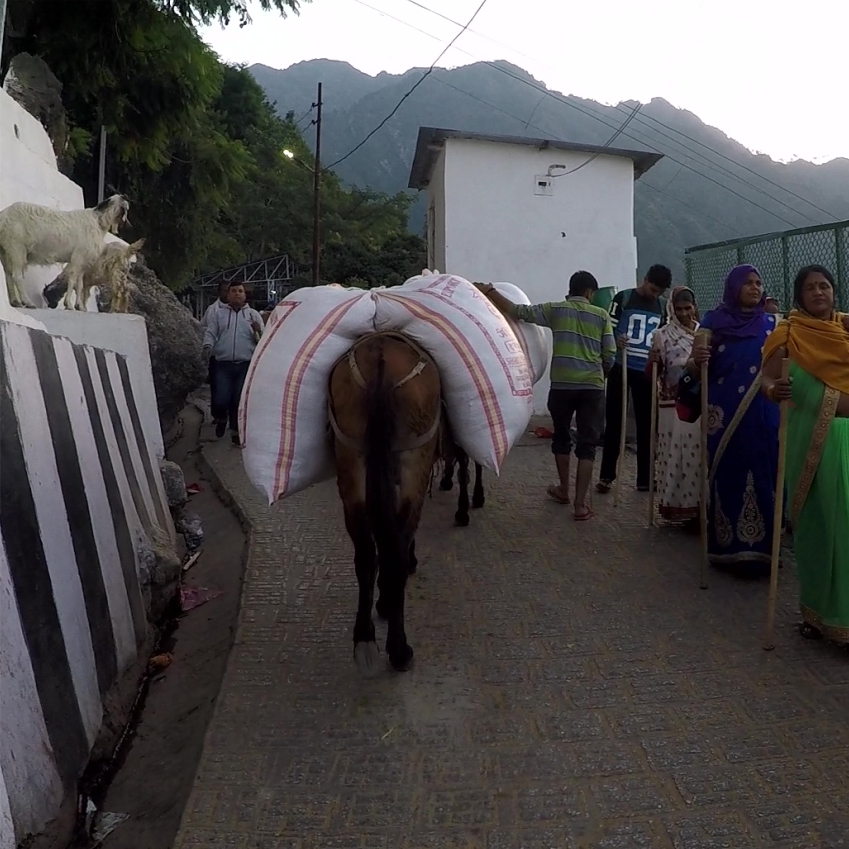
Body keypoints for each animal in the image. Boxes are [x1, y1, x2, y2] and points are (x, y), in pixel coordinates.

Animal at [0, 194, 129, 310]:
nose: (125, 198)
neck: (98, 222)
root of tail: (3, 216)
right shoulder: (78, 257)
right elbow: (72, 279)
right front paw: (69, 305)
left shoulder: (83, 262)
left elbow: (79, 284)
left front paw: (79, 306)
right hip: (17, 248)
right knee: (16, 276)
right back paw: (28, 302)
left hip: (6, 251)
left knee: (8, 275)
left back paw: (15, 302)